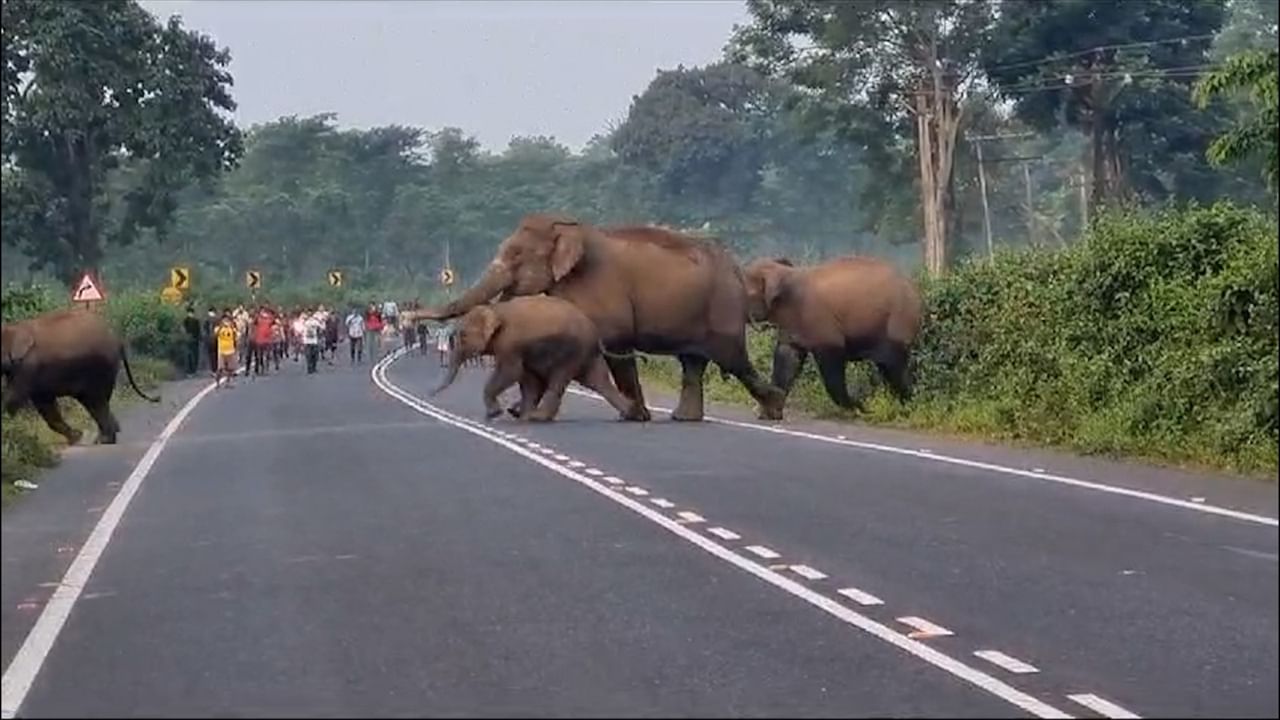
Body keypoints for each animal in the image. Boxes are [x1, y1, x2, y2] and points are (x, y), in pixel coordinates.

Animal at [1, 307, 161, 443]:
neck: (14, 327)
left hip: (100, 367)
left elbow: (15, 396)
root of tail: (117, 339)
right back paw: (109, 433)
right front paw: (76, 437)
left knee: (96, 401)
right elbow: (45, 404)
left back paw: (105, 439)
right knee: (94, 401)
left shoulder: (28, 367)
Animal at [430, 295, 645, 422]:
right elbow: (527, 378)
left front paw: (496, 414)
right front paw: (519, 416)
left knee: (560, 379)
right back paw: (630, 413)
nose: (429, 394)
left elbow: (510, 372)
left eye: (462, 336)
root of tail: (595, 332)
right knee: (597, 380)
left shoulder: (511, 344)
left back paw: (538, 416)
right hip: (586, 353)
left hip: (572, 352)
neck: (496, 309)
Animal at [747, 256, 926, 415]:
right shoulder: (791, 327)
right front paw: (768, 413)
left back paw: (907, 407)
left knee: (893, 365)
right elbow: (787, 361)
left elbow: (831, 365)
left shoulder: (822, 324)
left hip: (899, 321)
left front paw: (858, 408)